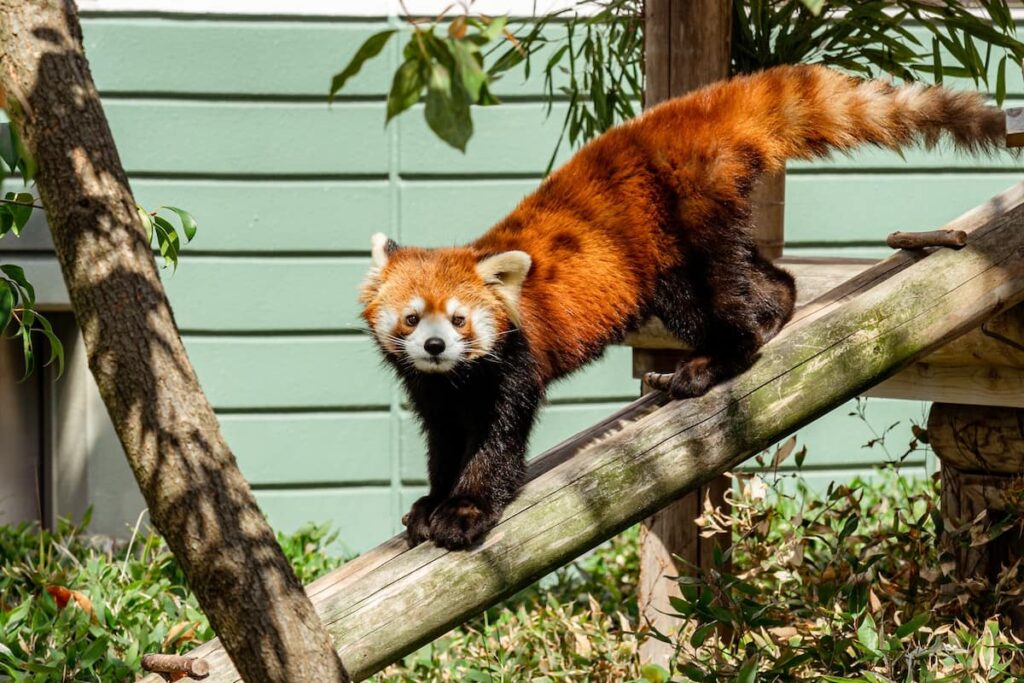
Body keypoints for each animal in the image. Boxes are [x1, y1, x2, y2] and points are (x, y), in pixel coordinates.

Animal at [360, 65, 1007, 548]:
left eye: (461, 319)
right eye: (412, 318)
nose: (436, 346)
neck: (457, 378)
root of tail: (685, 115)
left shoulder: (513, 363)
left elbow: (497, 441)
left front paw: (465, 511)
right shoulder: (435, 393)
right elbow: (444, 441)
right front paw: (431, 502)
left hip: (683, 232)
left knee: (717, 304)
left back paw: (710, 364)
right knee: (766, 279)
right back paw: (773, 310)